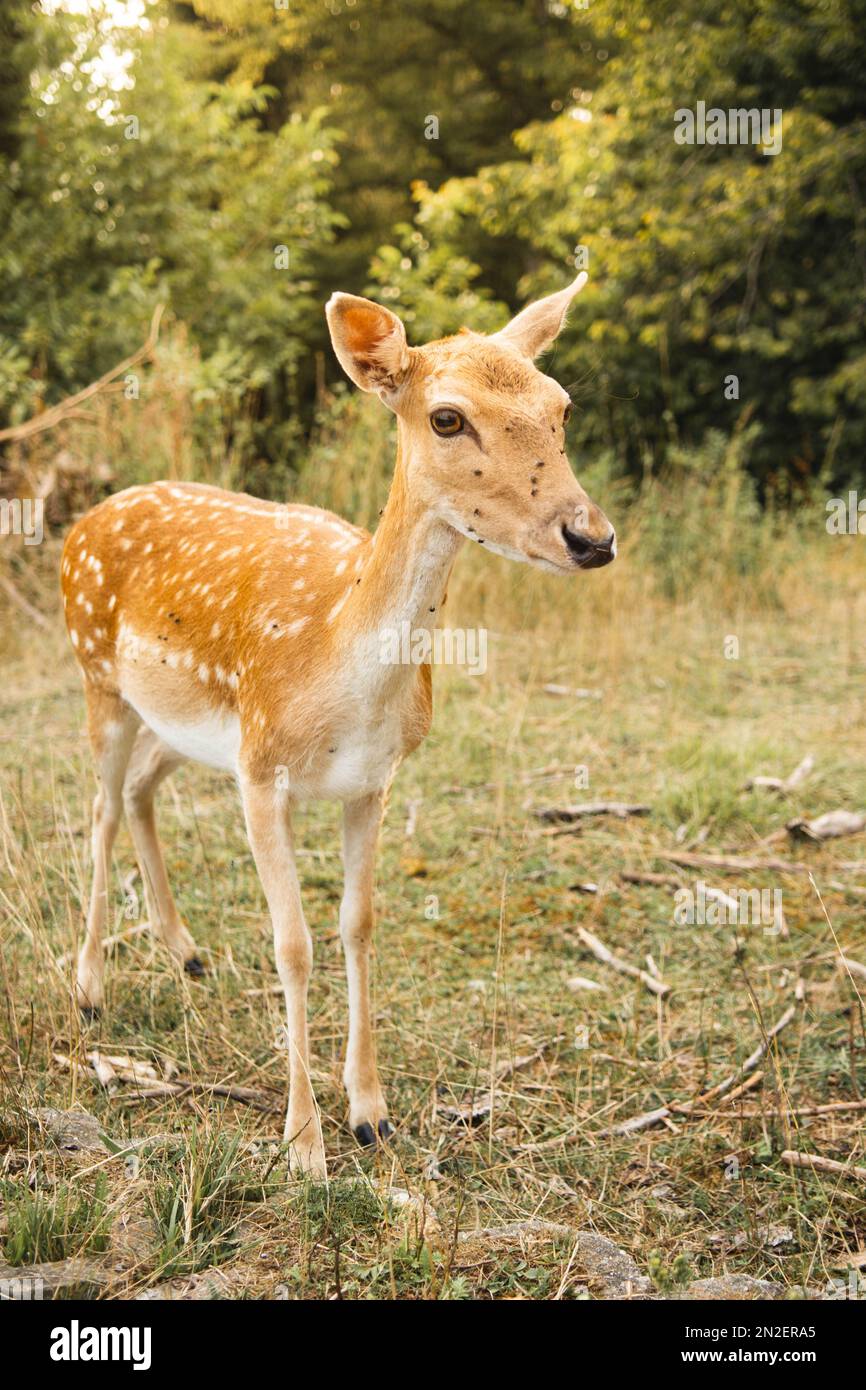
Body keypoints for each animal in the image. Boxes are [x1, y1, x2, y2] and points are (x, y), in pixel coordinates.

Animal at [61, 276, 617, 1178]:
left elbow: (359, 926)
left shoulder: (372, 781)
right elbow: (292, 944)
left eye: (560, 406)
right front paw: (303, 1142)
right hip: (97, 676)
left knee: (141, 793)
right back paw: (89, 992)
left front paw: (371, 1114)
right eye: (447, 418)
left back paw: (187, 953)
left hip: (181, 729)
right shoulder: (262, 771)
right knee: (104, 810)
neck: (339, 672)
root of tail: (83, 519)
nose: (590, 536)